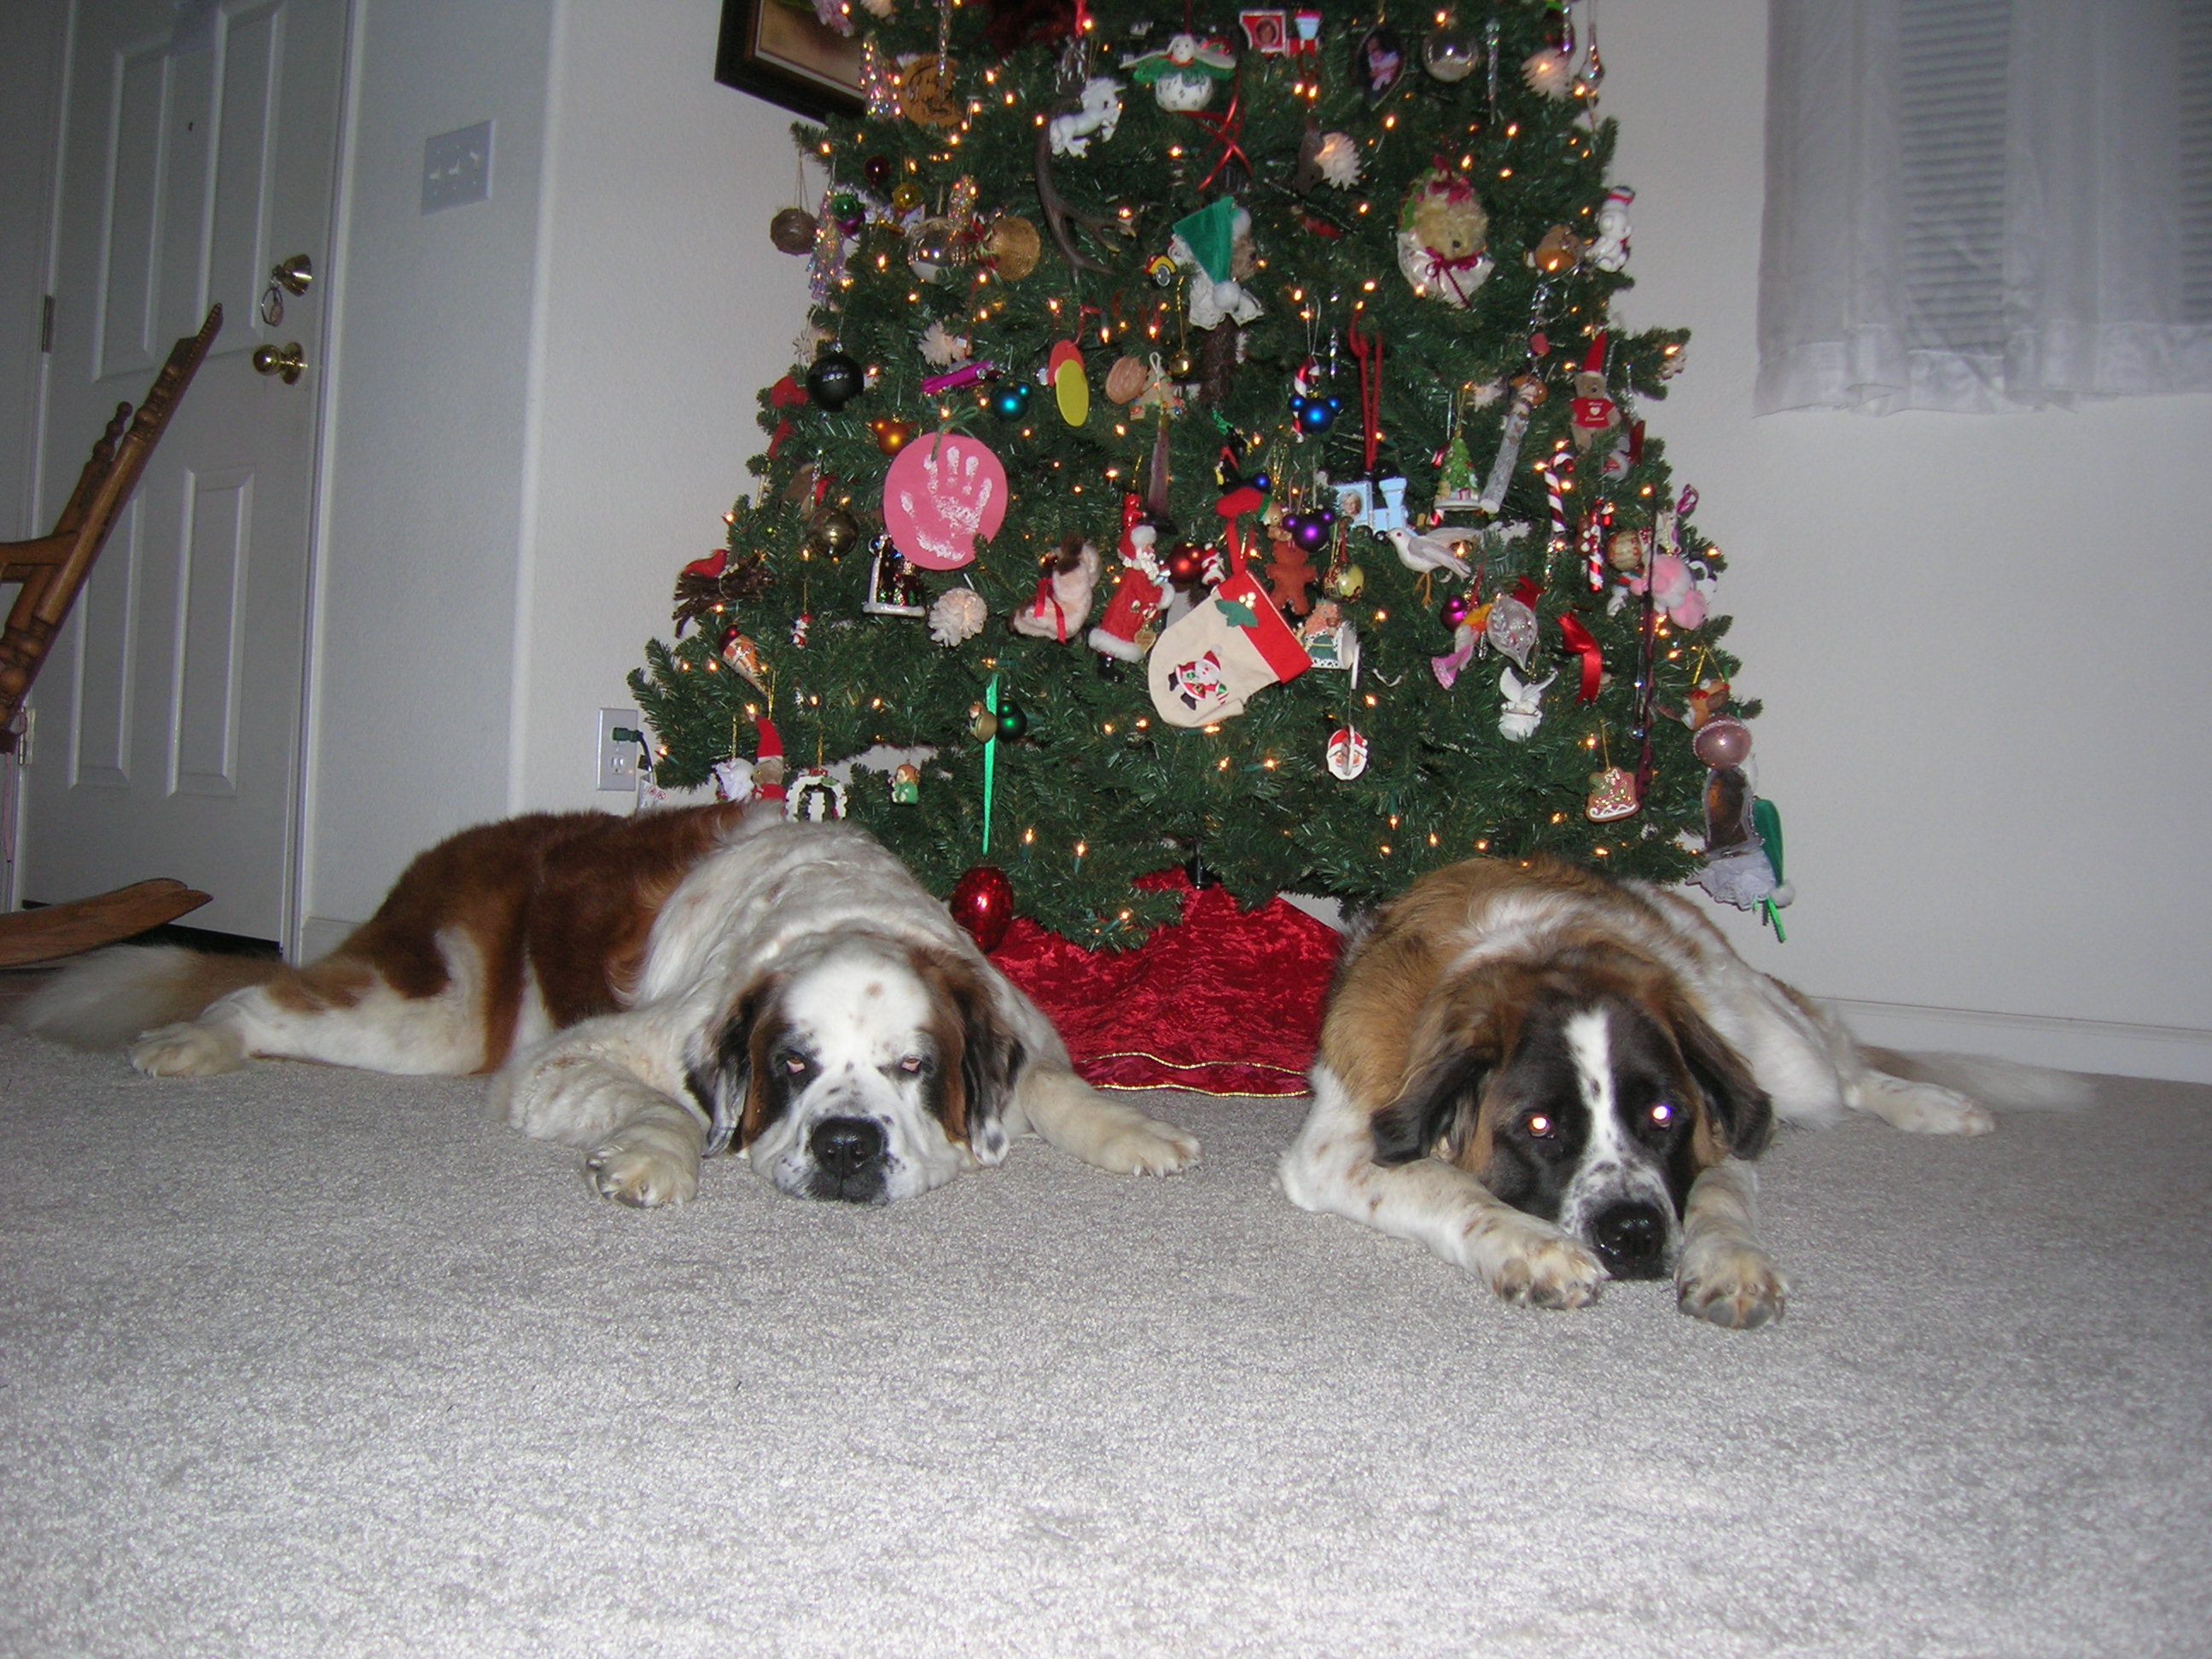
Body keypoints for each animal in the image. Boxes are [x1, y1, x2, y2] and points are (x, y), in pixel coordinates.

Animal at [15, 804, 1199, 1207]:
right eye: (791, 1064)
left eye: (915, 1068)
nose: (848, 1145)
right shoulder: (579, 1057)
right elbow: (667, 1101)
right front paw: (649, 1160)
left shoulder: (1008, 1013)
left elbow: (1051, 1084)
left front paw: (1134, 1131)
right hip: (427, 1015)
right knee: (260, 995)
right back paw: (190, 1043)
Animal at [1279, 856, 2086, 1328]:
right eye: (1539, 1127)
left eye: (1663, 1114)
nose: (1633, 1233)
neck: (1544, 959)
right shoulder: (1338, 1147)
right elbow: (1449, 1186)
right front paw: (1531, 1250)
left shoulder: (1722, 1126)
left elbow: (1721, 1192)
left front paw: (1729, 1263)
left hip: (1778, 1049)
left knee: (1843, 1069)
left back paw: (1939, 1106)